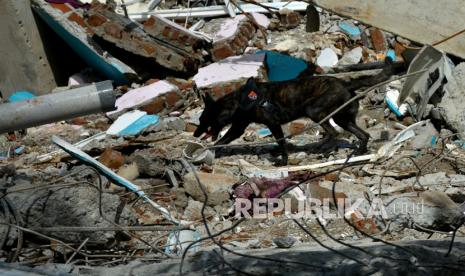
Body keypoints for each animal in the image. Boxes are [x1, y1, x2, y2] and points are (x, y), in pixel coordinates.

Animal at [192, 56, 392, 163]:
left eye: (202, 120)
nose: (194, 134)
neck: (238, 102)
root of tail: (346, 83)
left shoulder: (273, 123)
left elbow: (281, 143)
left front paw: (283, 160)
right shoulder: (238, 128)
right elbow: (222, 140)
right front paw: (210, 151)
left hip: (314, 110)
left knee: (333, 132)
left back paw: (324, 148)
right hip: (343, 118)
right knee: (362, 134)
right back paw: (358, 151)